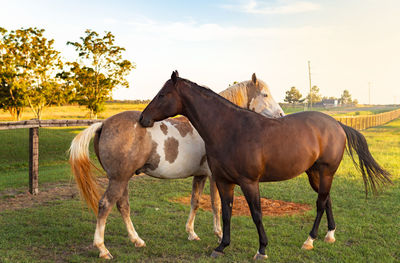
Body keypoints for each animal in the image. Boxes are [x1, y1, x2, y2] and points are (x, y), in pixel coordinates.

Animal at [139, 71, 392, 260]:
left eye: (162, 94)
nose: (143, 119)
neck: (230, 129)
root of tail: (337, 125)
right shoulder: (223, 181)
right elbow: (226, 213)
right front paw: (221, 246)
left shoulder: (250, 183)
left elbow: (256, 214)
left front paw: (261, 249)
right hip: (315, 174)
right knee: (327, 199)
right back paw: (329, 235)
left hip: (326, 172)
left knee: (320, 203)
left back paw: (309, 240)